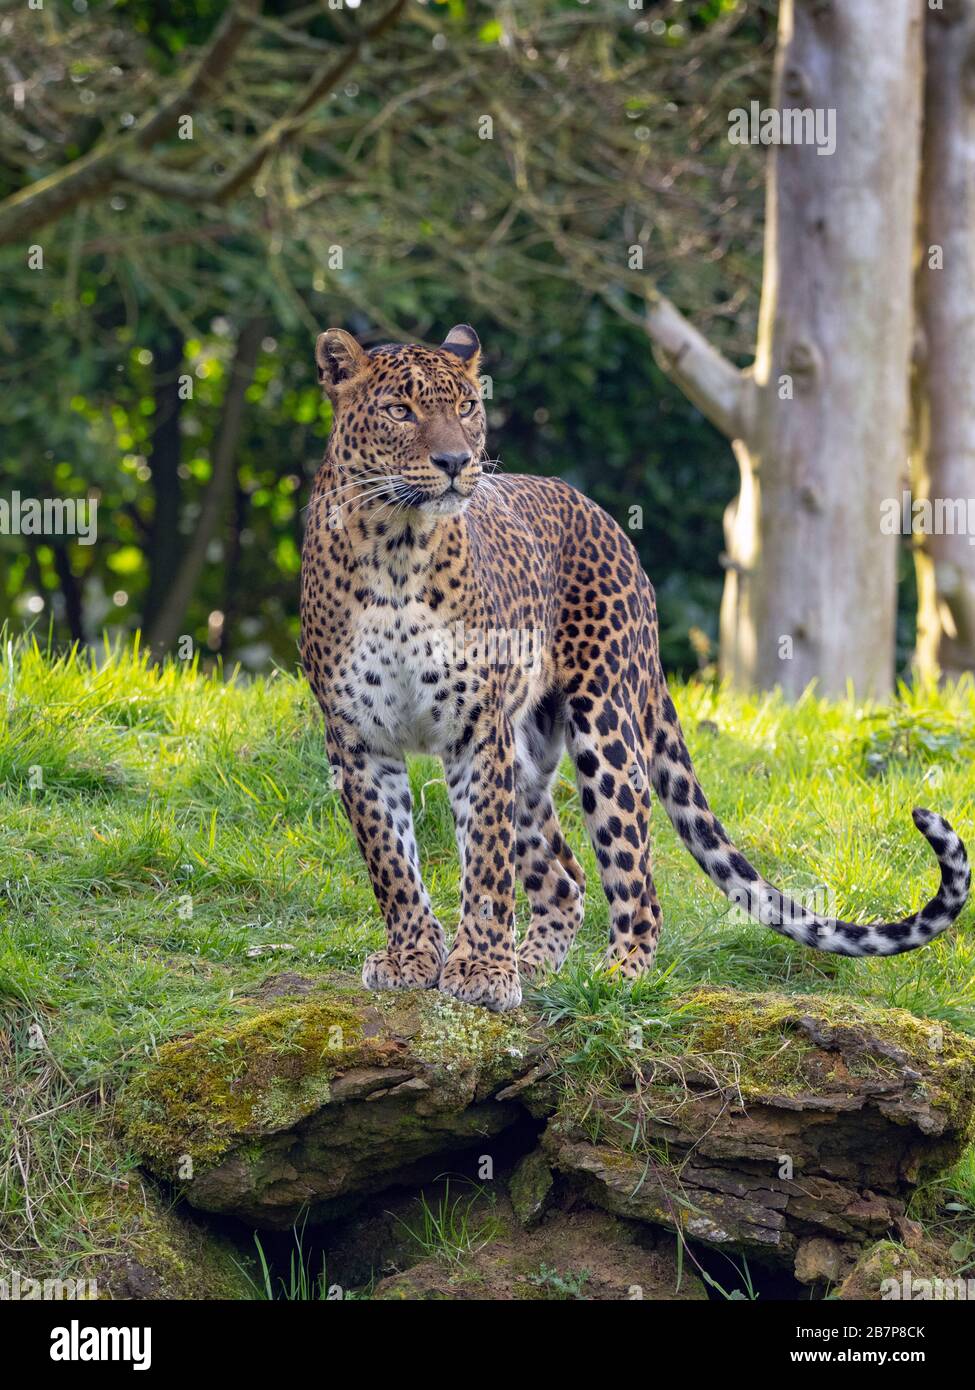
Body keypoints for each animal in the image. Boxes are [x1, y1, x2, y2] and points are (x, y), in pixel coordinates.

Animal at [299, 323, 971, 1013]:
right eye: (399, 411)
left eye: (467, 407)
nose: (456, 463)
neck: (398, 549)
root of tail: (609, 524)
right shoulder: (356, 738)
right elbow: (389, 858)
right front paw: (413, 956)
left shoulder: (476, 730)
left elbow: (484, 861)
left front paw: (481, 970)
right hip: (528, 756)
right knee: (564, 879)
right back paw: (537, 967)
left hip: (602, 727)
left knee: (637, 885)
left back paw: (615, 976)